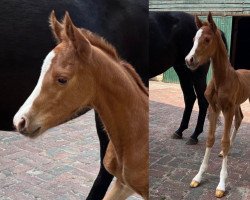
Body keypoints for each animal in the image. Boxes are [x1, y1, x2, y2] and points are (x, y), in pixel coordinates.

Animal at [149, 11, 228, 145]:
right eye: (193, 40)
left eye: (207, 39)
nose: (189, 59)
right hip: (183, 70)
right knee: (190, 97)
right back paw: (180, 131)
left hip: (197, 73)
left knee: (202, 99)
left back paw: (194, 135)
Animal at [186, 12, 250, 198]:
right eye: (193, 38)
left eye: (207, 39)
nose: (189, 60)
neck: (221, 79)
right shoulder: (214, 109)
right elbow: (211, 139)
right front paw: (198, 177)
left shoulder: (227, 110)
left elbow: (224, 141)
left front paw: (221, 184)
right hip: (237, 104)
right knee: (240, 119)